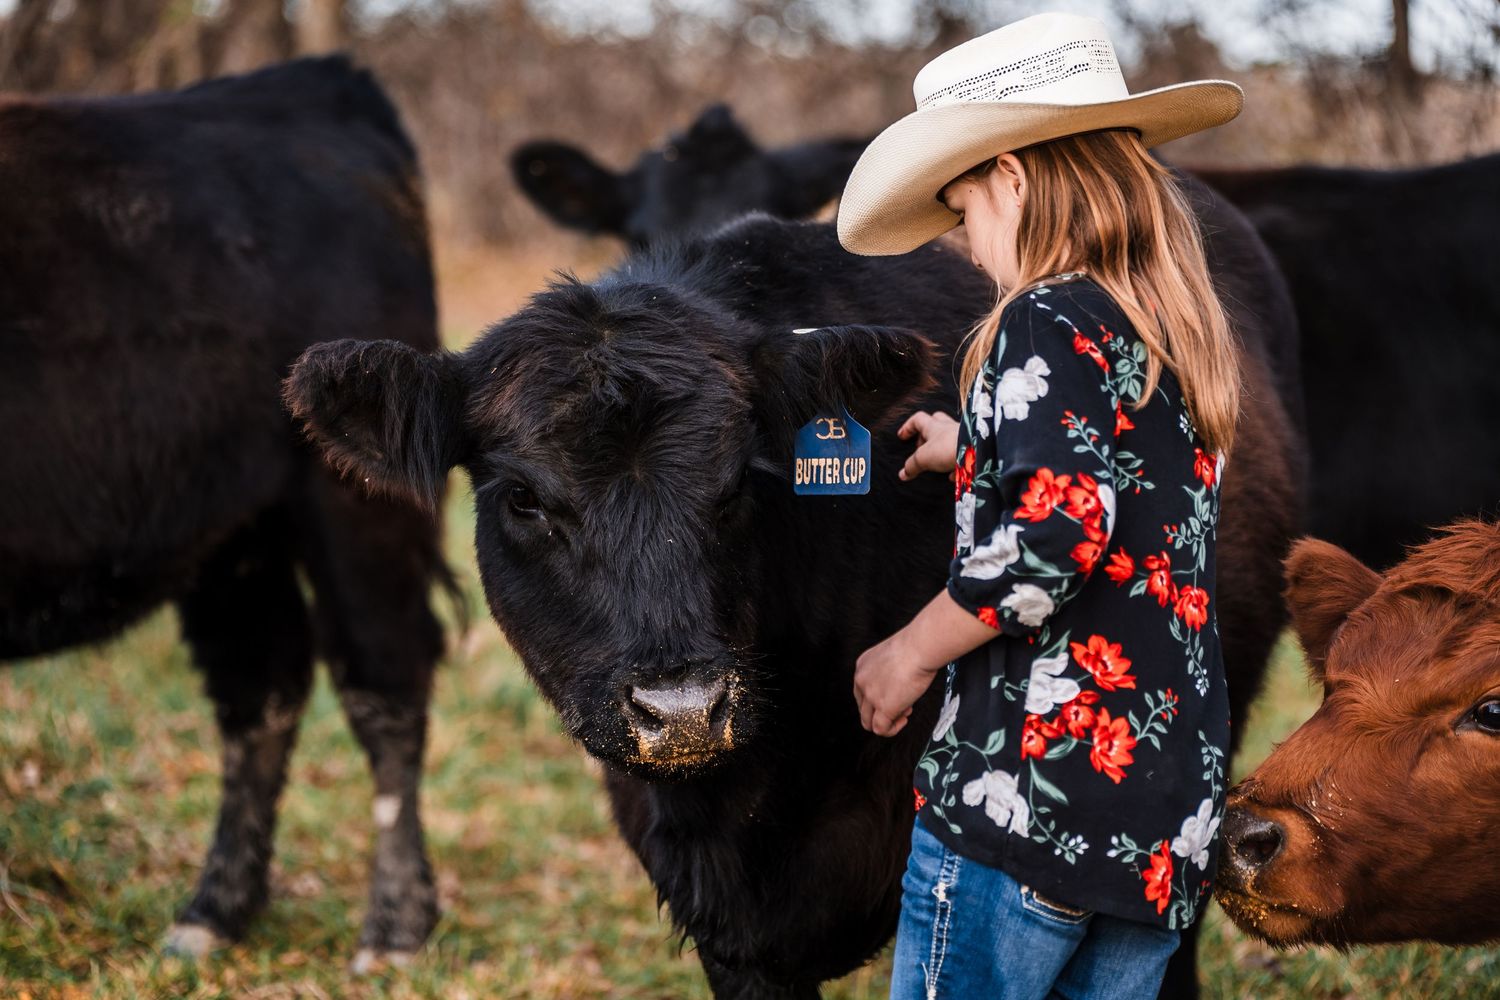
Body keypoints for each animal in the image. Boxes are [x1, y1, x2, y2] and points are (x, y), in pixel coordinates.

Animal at [1, 57, 450, 967]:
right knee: (261, 688)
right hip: (232, 533)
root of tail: (314, 82)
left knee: (384, 684)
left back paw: (393, 929)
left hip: (353, 509)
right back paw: (213, 912)